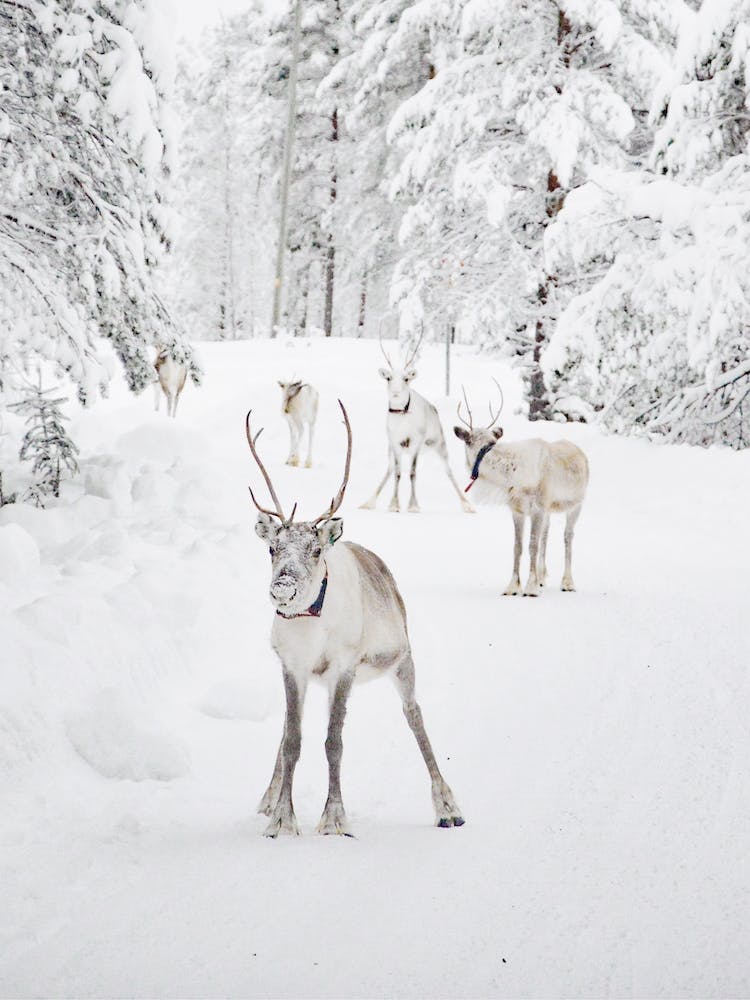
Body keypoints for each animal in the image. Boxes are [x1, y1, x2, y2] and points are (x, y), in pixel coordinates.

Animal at [247, 400, 464, 838]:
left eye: (315, 551)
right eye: (272, 548)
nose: (283, 587)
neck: (309, 624)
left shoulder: (343, 667)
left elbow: (334, 742)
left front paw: (334, 819)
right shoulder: (292, 667)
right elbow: (291, 740)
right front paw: (281, 818)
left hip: (403, 660)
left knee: (415, 716)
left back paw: (448, 807)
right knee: (286, 732)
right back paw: (267, 799)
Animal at [361, 334, 474, 514]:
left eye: (406, 379)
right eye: (388, 378)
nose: (396, 393)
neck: (402, 416)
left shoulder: (415, 443)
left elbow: (413, 473)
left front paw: (413, 505)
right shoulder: (395, 443)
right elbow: (397, 473)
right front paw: (394, 505)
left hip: (439, 444)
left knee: (448, 471)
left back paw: (467, 504)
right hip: (392, 450)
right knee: (389, 470)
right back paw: (369, 501)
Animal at [453, 384, 589, 597]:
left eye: (467, 441)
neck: (512, 474)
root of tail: (581, 454)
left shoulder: (538, 507)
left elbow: (532, 545)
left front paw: (530, 587)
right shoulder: (517, 509)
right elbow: (518, 546)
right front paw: (513, 586)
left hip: (576, 505)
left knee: (567, 537)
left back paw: (567, 582)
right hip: (550, 509)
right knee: (546, 534)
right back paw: (542, 577)